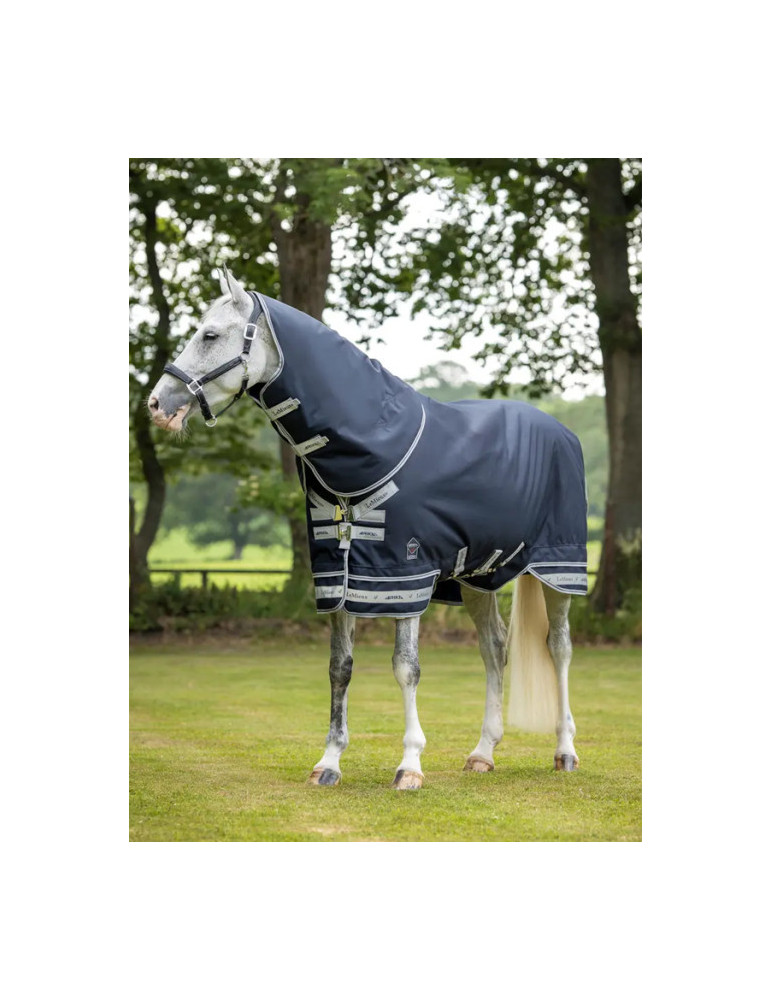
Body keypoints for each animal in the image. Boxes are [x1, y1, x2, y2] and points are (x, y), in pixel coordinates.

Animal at [148, 269, 587, 789]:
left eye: (210, 335)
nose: (157, 404)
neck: (372, 448)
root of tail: (563, 432)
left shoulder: (405, 574)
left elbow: (406, 668)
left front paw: (410, 765)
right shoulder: (340, 576)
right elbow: (340, 668)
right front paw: (329, 762)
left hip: (558, 570)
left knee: (559, 649)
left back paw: (565, 750)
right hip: (478, 576)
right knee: (494, 648)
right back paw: (483, 752)